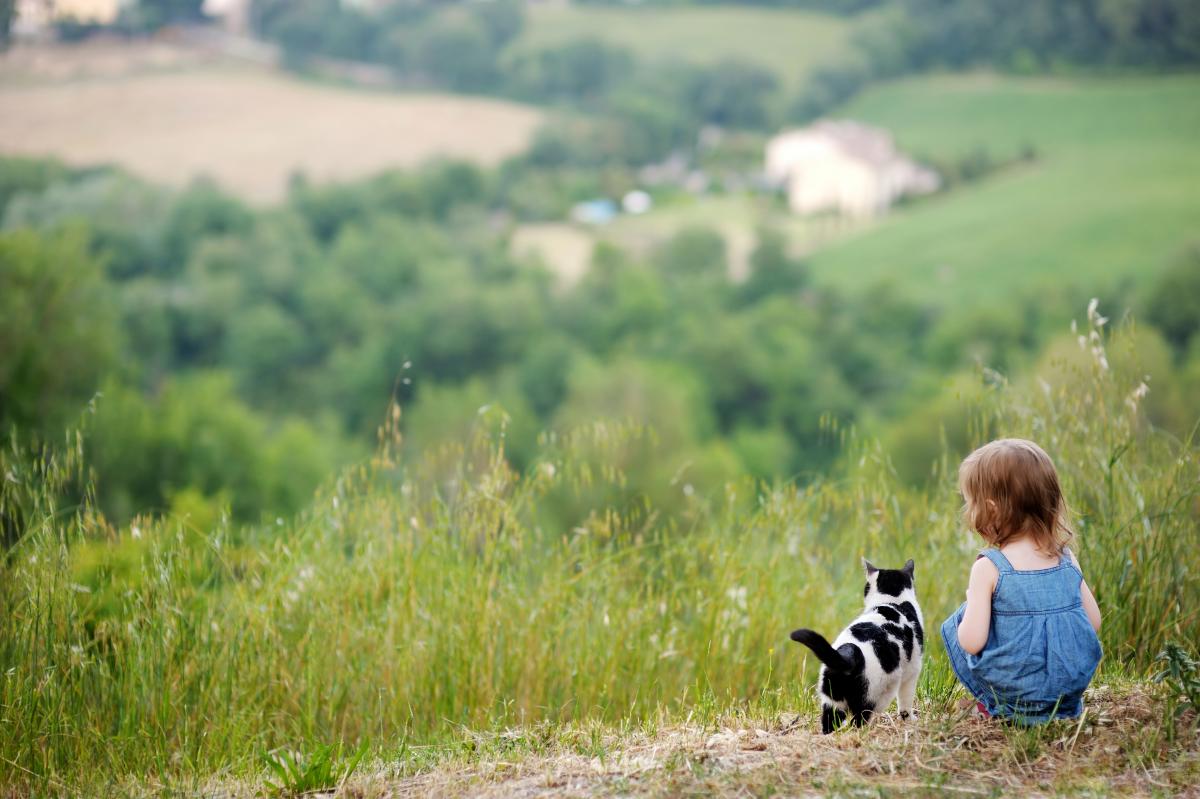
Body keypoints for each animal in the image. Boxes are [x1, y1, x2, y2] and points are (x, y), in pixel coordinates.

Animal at [792, 556, 921, 729]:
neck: (893, 600)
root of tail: (849, 654)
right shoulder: (912, 671)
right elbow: (906, 702)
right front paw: (909, 719)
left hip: (832, 701)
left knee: (829, 723)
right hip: (872, 698)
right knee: (859, 722)